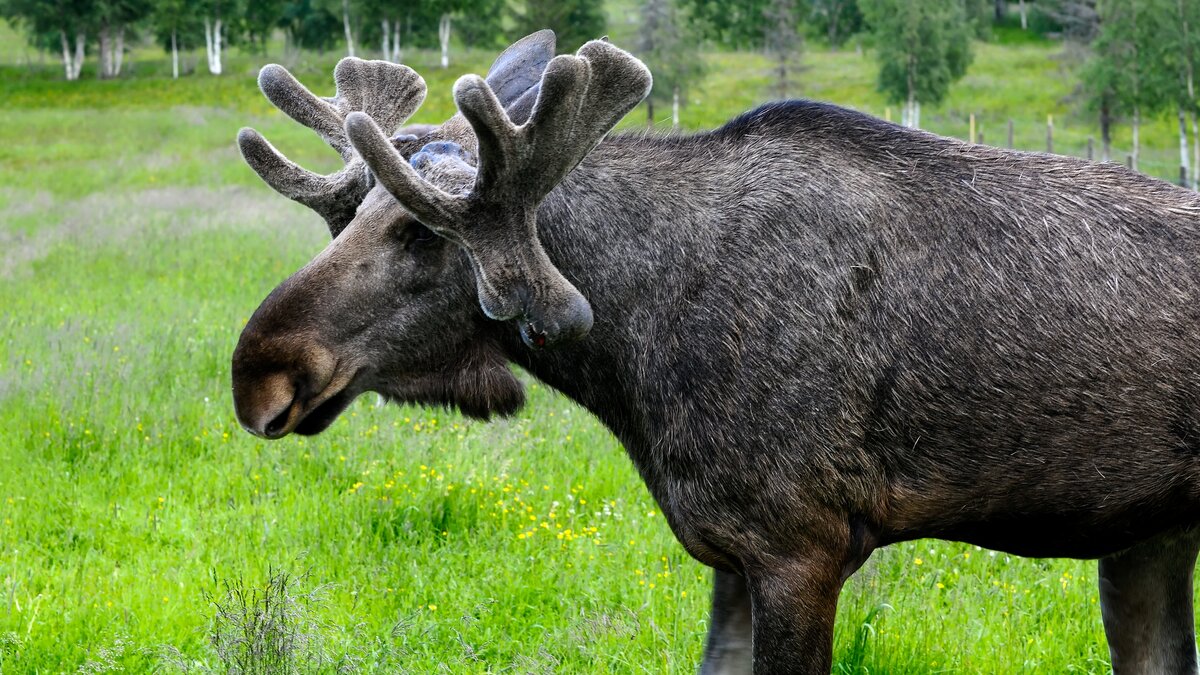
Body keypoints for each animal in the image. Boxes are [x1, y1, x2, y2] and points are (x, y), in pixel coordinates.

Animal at [231, 31, 1200, 672]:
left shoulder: (800, 547)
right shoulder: (733, 553)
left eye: (425, 235)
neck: (634, 357)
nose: (259, 372)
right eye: (351, 215)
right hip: (1148, 542)